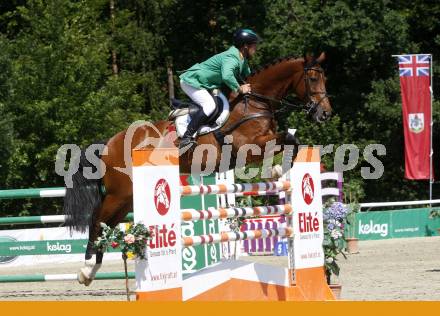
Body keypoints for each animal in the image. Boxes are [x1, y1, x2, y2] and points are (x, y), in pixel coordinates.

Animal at [63, 52, 332, 286]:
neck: (255, 103)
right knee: (97, 221)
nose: (325, 114)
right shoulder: (247, 147)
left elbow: (290, 141)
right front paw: (276, 171)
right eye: (312, 79)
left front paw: (279, 171)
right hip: (119, 194)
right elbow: (286, 138)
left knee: (106, 225)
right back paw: (86, 270)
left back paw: (90, 271)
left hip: (126, 198)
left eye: (324, 78)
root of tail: (110, 142)